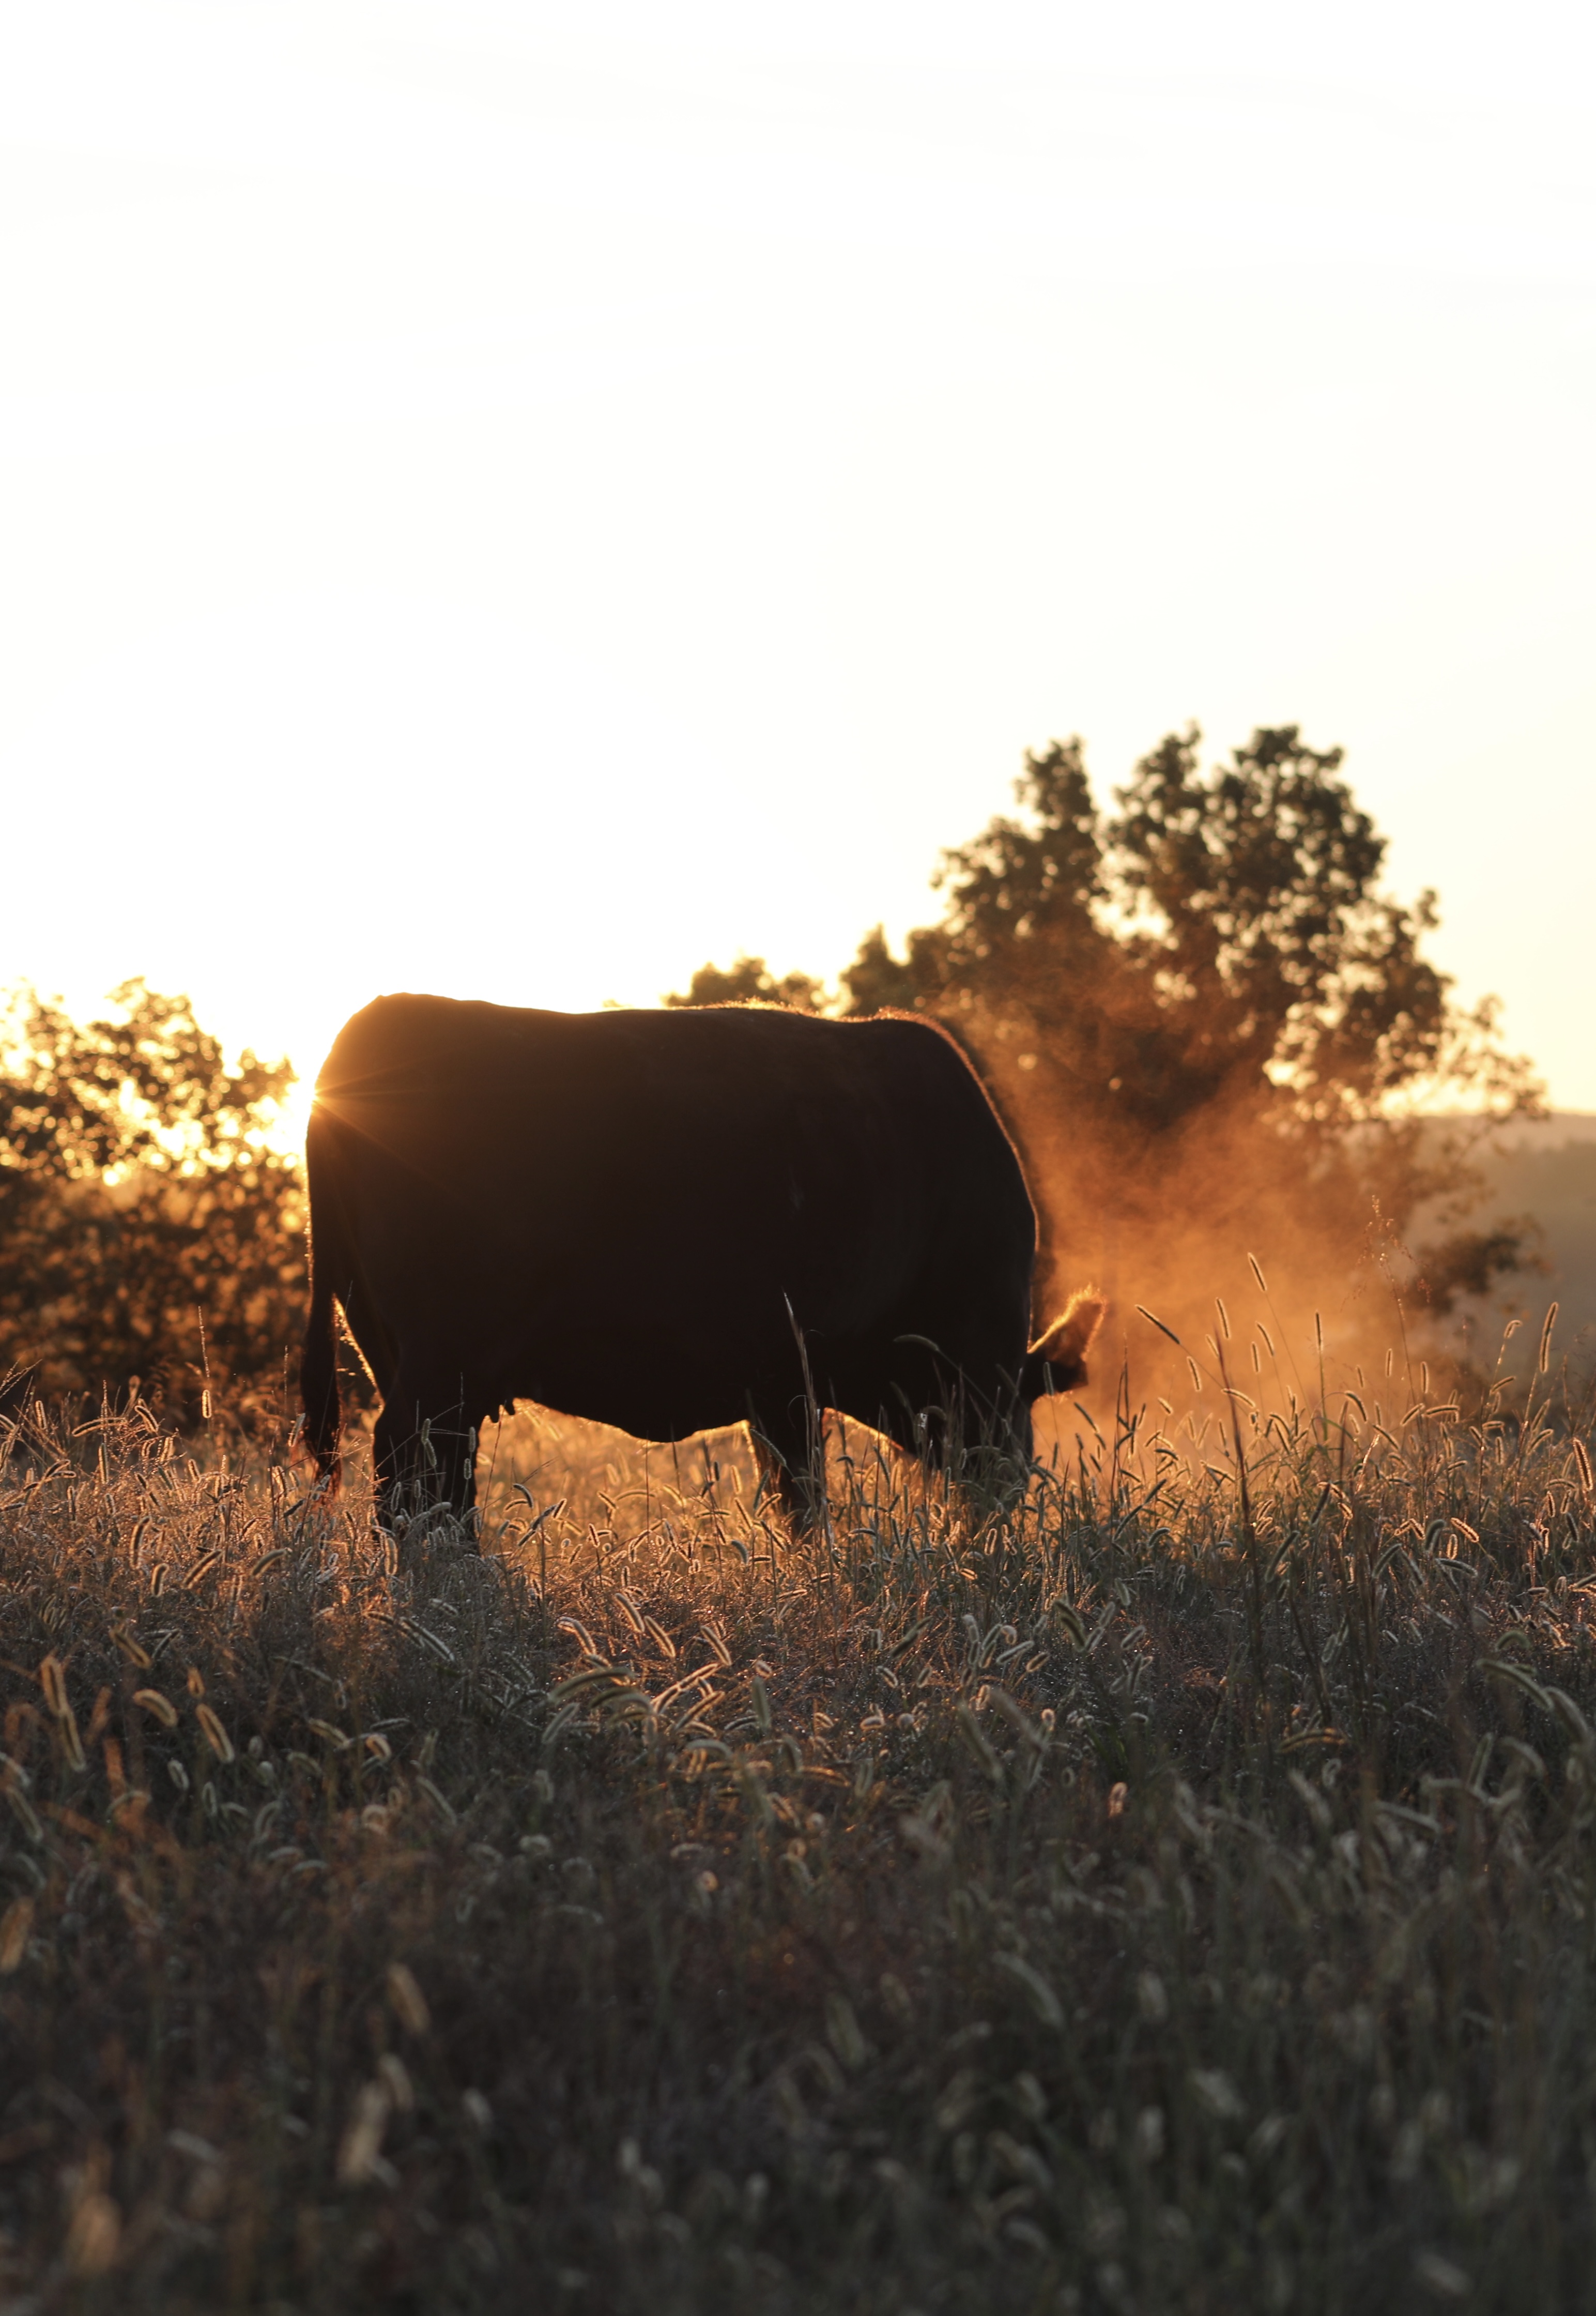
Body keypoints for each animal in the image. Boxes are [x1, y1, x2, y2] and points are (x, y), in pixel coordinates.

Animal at [300, 993, 1104, 1538]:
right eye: (1024, 1409)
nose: (1008, 1491)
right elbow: (807, 1493)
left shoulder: (778, 1382)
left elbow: (796, 1493)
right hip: (441, 1353)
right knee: (409, 1466)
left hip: (400, 1350)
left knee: (441, 1476)